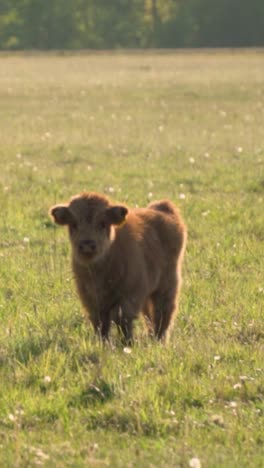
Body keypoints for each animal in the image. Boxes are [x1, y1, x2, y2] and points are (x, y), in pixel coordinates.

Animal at [49, 191, 186, 344]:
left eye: (103, 223)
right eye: (73, 224)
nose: (87, 245)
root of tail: (162, 207)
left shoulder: (129, 296)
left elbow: (122, 319)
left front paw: (127, 343)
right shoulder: (91, 300)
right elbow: (100, 323)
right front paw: (103, 343)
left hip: (167, 285)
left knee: (163, 312)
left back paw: (159, 340)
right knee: (149, 315)